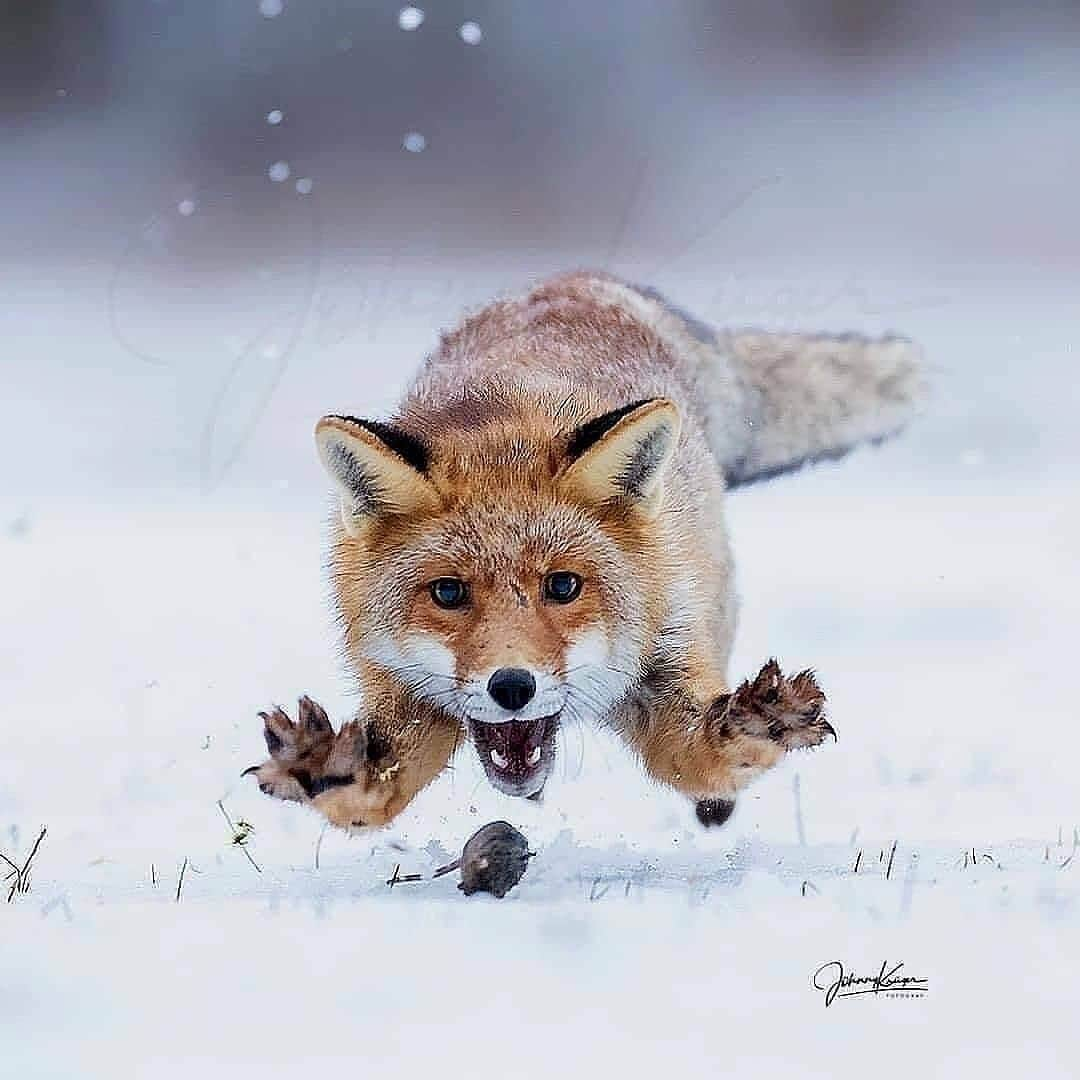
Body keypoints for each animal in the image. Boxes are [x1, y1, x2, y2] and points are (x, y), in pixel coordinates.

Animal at [245, 270, 920, 825]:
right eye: (449, 593)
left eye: (563, 586)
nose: (511, 687)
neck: (505, 420)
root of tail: (586, 280)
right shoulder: (401, 688)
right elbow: (371, 793)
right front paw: (326, 768)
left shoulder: (665, 655)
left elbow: (705, 754)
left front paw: (757, 725)